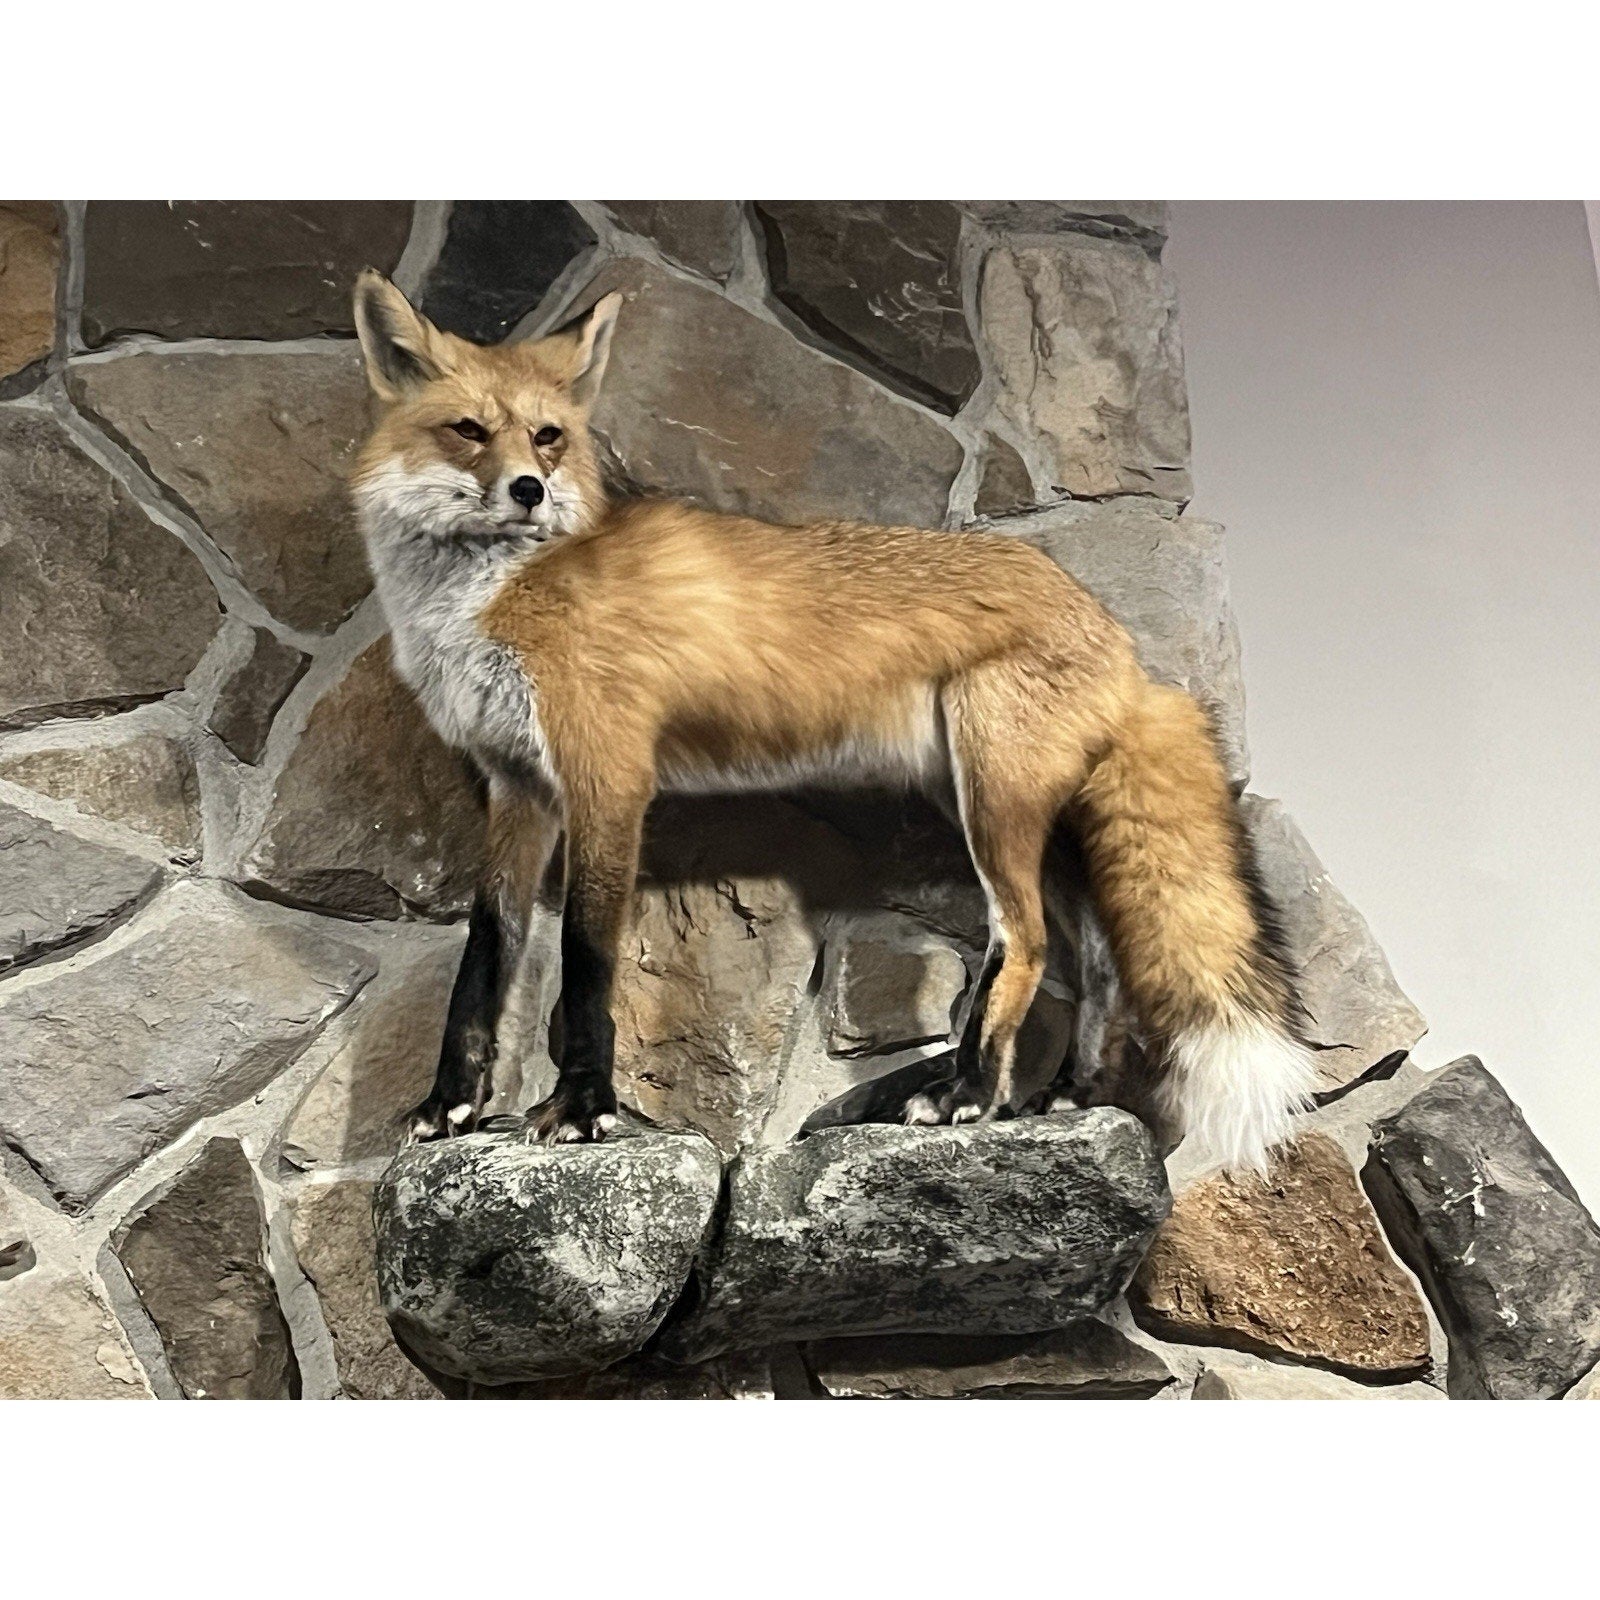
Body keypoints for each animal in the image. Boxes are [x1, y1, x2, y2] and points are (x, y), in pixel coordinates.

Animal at [348, 268, 1319, 1177]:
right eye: (469, 431)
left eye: (546, 436)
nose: (529, 490)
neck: (487, 595)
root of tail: (1122, 642)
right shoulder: (517, 788)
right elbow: (485, 958)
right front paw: (449, 1108)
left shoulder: (607, 778)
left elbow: (586, 958)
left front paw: (584, 1109)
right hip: (1018, 816)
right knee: (1097, 959)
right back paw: (1064, 1094)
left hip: (993, 805)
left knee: (1027, 943)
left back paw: (966, 1096)